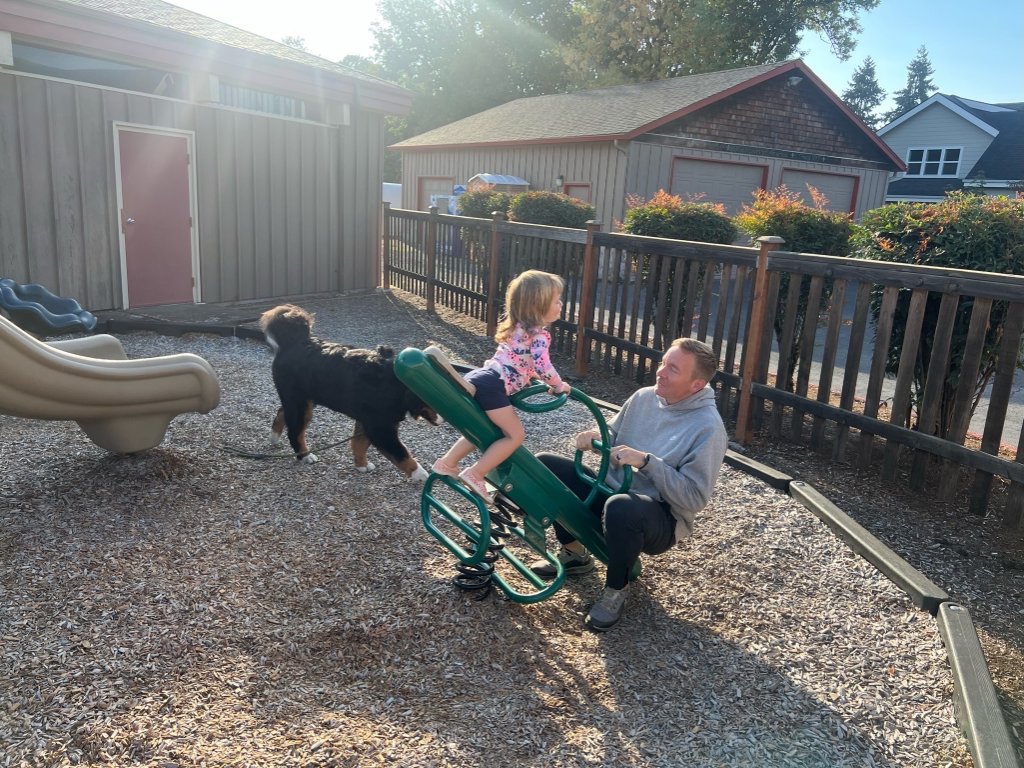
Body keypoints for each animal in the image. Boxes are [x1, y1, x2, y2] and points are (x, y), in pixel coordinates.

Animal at [259, 304, 439, 481]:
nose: (442, 420)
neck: (394, 384)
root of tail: (294, 341)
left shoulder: (367, 420)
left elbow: (359, 443)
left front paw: (361, 464)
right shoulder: (380, 427)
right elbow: (401, 453)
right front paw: (419, 473)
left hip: (303, 399)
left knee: (282, 412)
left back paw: (274, 436)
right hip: (300, 403)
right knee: (295, 431)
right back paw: (305, 455)